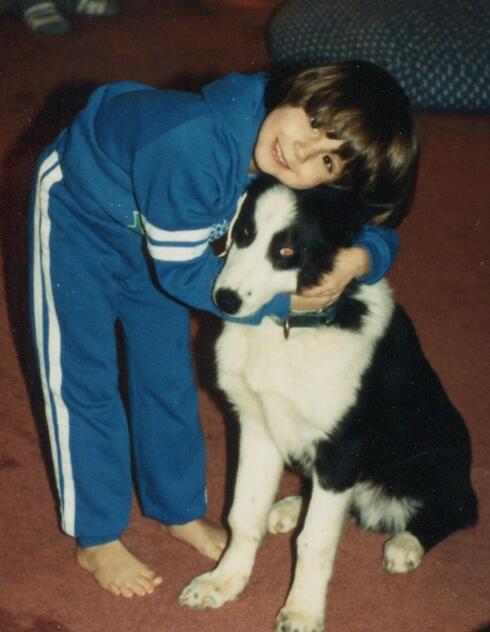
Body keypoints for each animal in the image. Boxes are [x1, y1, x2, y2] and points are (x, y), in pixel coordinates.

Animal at [178, 175, 476, 628]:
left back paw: (406, 543)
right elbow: (243, 514)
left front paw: (302, 610)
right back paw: (289, 507)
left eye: (287, 251)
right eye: (244, 233)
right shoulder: (257, 425)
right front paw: (223, 582)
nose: (225, 300)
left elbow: (314, 541)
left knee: (458, 507)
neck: (289, 329)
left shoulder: (342, 448)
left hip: (433, 458)